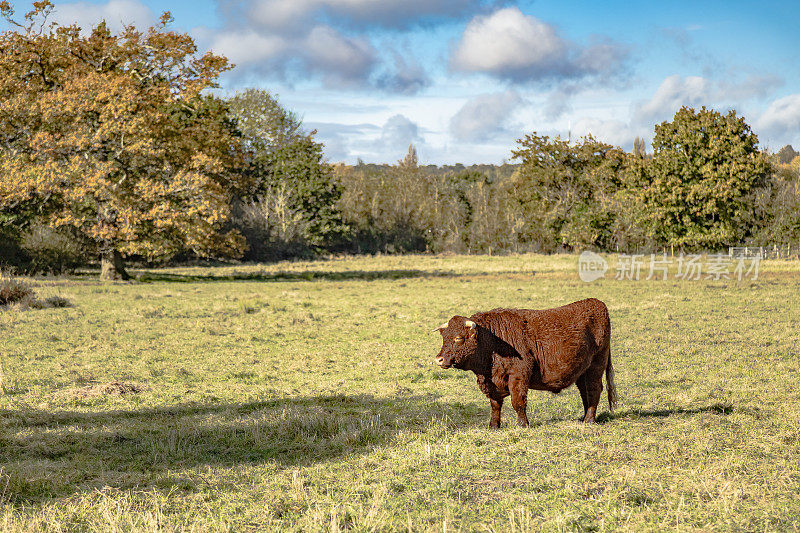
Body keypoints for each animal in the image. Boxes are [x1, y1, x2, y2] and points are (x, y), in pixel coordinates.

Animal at [434, 298, 616, 426]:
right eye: (444, 337)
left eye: (458, 338)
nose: (439, 359)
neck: (492, 341)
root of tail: (596, 303)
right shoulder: (492, 383)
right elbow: (495, 405)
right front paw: (493, 426)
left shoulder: (518, 375)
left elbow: (518, 402)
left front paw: (523, 424)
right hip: (582, 371)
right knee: (585, 392)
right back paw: (584, 417)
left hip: (596, 366)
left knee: (594, 390)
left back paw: (589, 420)